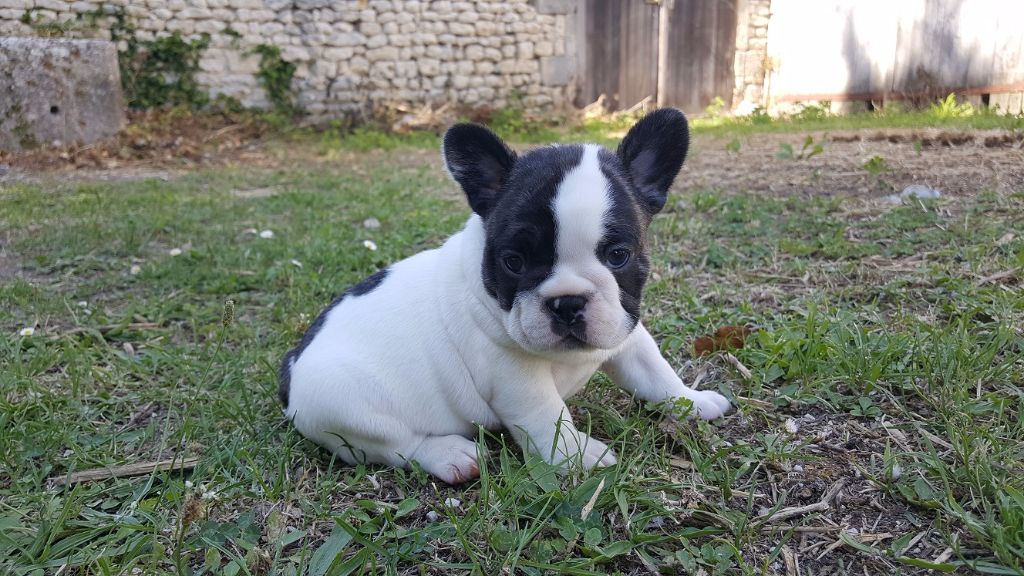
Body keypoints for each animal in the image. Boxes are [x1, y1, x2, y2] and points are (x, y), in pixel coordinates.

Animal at [278, 106, 729, 479]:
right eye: (513, 262)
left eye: (619, 255)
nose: (567, 303)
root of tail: (292, 366)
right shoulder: (514, 375)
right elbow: (547, 414)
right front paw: (576, 455)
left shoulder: (626, 332)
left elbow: (656, 373)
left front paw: (691, 401)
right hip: (345, 407)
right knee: (395, 445)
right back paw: (451, 456)